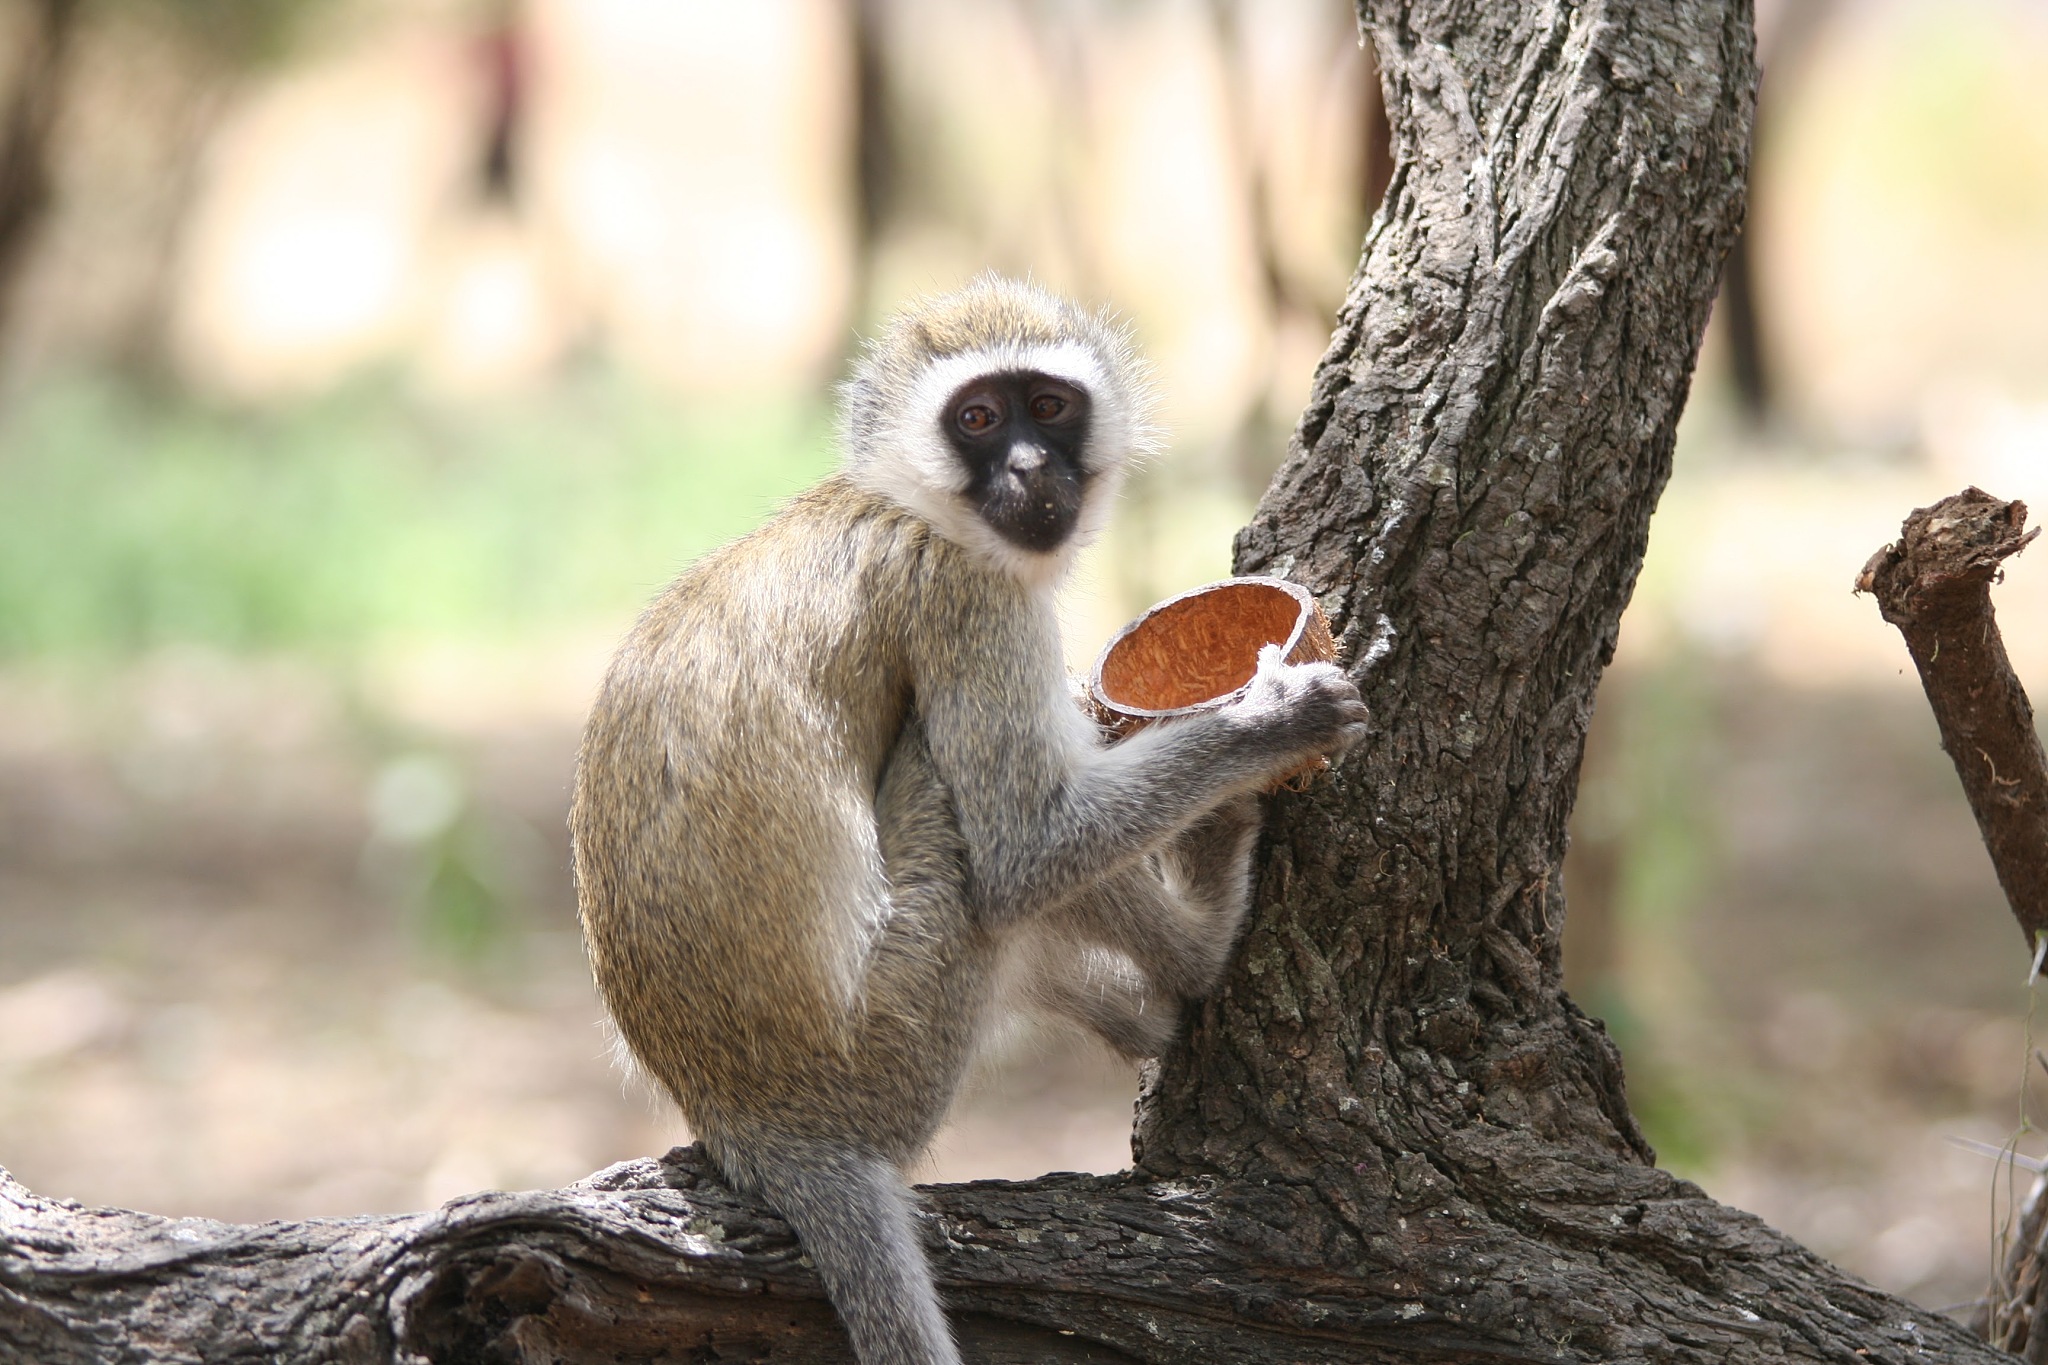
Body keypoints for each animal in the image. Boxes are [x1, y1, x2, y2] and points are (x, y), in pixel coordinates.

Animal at [570, 275, 1367, 1365]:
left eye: (1051, 406)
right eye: (979, 419)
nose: (1029, 466)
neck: (898, 500)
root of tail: (755, 1120)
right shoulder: (967, 598)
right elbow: (1024, 850)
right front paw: (1269, 722)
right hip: (896, 1048)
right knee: (966, 813)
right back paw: (1202, 941)